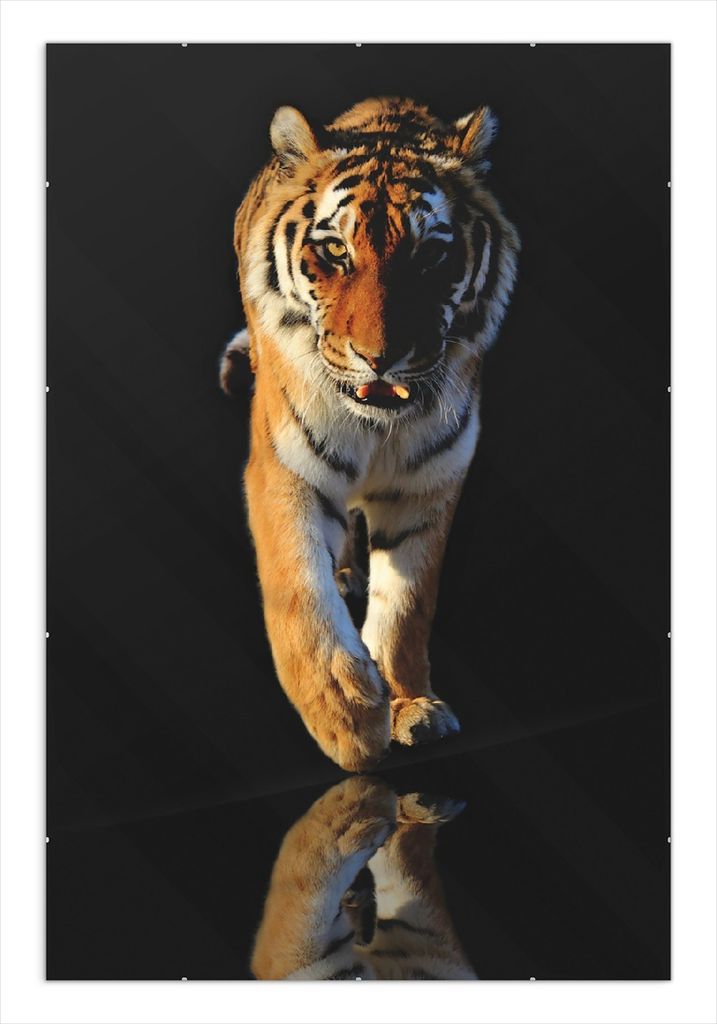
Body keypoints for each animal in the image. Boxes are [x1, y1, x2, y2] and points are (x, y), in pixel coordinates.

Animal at [220, 97, 519, 772]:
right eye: (334, 250)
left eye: (430, 254)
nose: (379, 358)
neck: (379, 426)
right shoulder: (285, 468)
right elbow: (297, 590)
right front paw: (346, 716)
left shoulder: (430, 480)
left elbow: (408, 604)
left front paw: (411, 707)